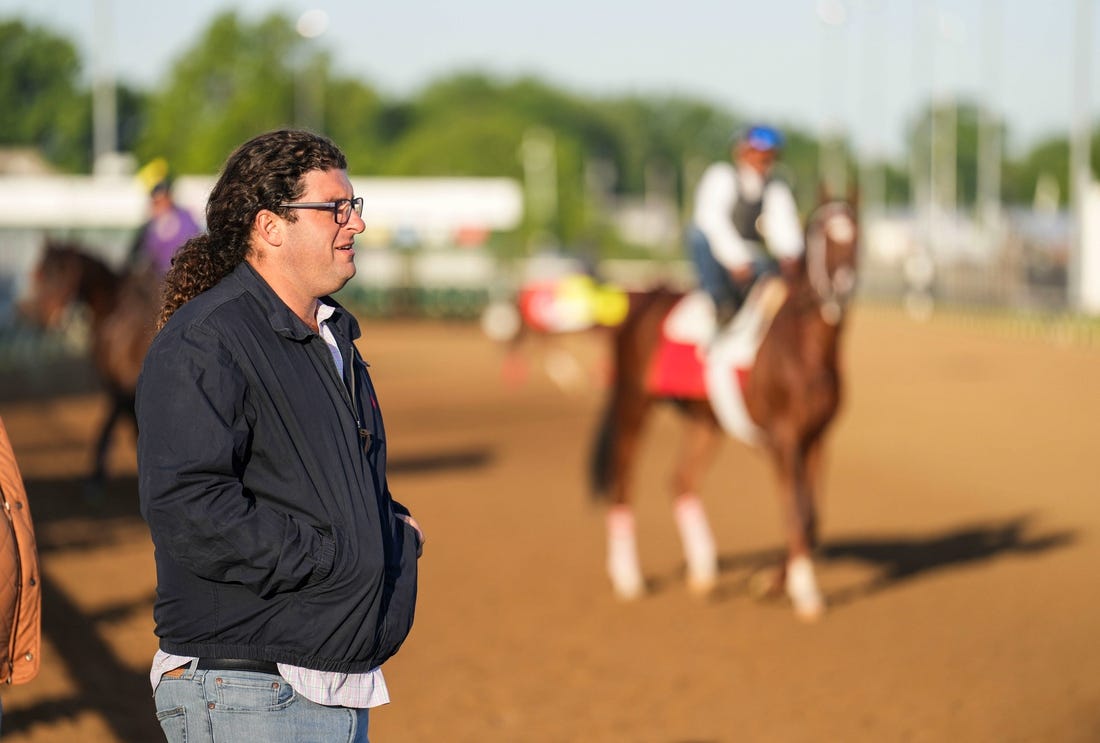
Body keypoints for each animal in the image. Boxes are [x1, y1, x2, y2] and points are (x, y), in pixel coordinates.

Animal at [19, 241, 159, 490]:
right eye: (41, 272)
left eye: (60, 273)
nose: (39, 315)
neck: (117, 314)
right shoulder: (114, 382)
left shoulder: (123, 383)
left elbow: (113, 421)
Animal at [594, 199, 858, 620]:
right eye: (821, 237)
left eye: (856, 235)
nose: (841, 288)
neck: (805, 348)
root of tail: (642, 299)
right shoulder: (783, 439)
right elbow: (797, 512)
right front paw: (801, 592)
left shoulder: (817, 437)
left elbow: (812, 516)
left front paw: (772, 583)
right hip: (634, 402)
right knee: (622, 479)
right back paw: (628, 578)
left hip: (705, 421)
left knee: (681, 481)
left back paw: (704, 573)